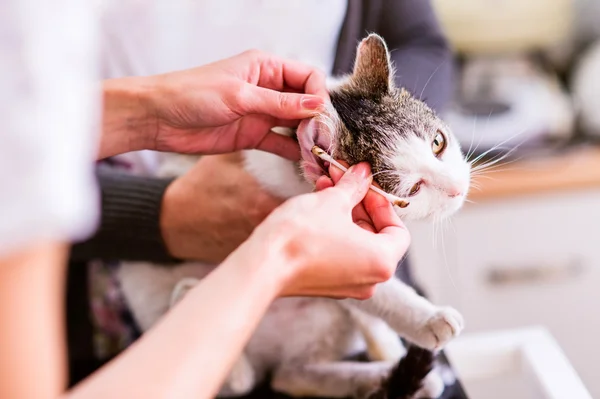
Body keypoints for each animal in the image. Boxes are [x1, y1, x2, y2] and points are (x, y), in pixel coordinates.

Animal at [117, 35, 472, 399]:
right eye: (411, 191)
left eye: (438, 142)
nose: (458, 189)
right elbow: (374, 288)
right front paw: (427, 318)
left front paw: (394, 338)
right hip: (146, 286)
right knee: (237, 379)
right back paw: (195, 306)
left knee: (290, 375)